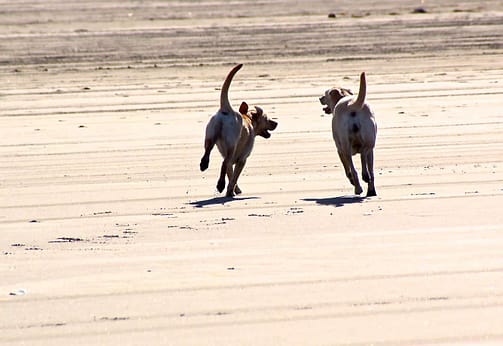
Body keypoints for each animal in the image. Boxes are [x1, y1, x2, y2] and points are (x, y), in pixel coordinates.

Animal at [201, 63, 280, 196]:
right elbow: (234, 177)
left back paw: (204, 164)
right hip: (231, 144)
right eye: (267, 118)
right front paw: (231, 190)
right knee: (224, 163)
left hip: (210, 135)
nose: (276, 123)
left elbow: (231, 174)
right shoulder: (243, 159)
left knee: (208, 152)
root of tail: (227, 109)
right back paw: (221, 185)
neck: (248, 119)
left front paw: (234, 190)